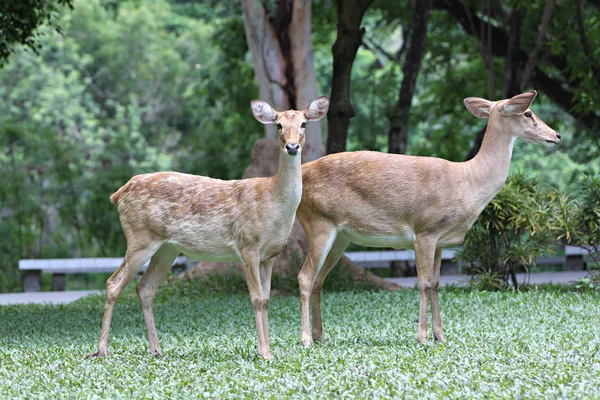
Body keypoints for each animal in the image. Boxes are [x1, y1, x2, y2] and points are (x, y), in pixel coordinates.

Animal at [85, 96, 330, 360]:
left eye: (304, 123)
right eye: (278, 125)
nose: (292, 147)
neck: (273, 202)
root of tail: (117, 195)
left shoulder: (270, 254)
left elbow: (266, 300)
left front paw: (267, 349)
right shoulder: (247, 245)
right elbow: (256, 299)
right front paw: (264, 352)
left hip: (167, 248)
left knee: (145, 288)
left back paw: (156, 349)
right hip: (139, 237)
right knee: (114, 283)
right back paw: (102, 349)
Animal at [296, 90, 556, 346]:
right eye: (528, 112)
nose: (556, 135)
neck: (469, 181)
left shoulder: (441, 240)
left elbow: (437, 284)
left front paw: (440, 335)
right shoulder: (425, 231)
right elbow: (424, 283)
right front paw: (422, 337)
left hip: (340, 236)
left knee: (319, 279)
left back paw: (321, 336)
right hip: (318, 221)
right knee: (305, 277)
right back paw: (307, 339)